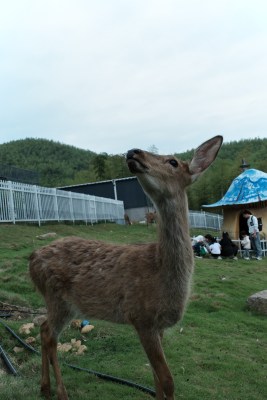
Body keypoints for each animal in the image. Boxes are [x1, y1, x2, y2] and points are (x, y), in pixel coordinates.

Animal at [28, 135, 224, 400]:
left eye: (173, 161)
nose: (133, 152)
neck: (162, 274)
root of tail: (32, 259)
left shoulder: (158, 326)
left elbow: (157, 380)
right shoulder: (141, 316)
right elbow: (168, 380)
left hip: (65, 304)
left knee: (43, 329)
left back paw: (45, 387)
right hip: (57, 297)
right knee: (49, 335)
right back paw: (60, 392)